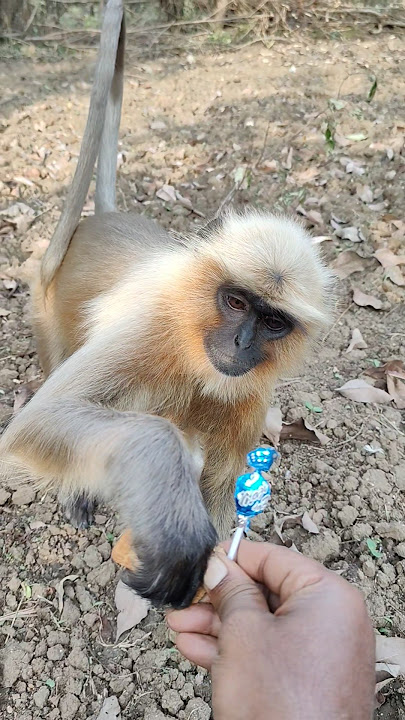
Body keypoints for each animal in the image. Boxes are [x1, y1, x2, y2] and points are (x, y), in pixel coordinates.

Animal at [0, 0, 333, 608]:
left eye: (271, 321)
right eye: (235, 302)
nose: (241, 341)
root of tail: (102, 218)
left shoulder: (253, 390)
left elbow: (226, 489)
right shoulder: (152, 326)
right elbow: (40, 420)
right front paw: (179, 535)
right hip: (46, 309)